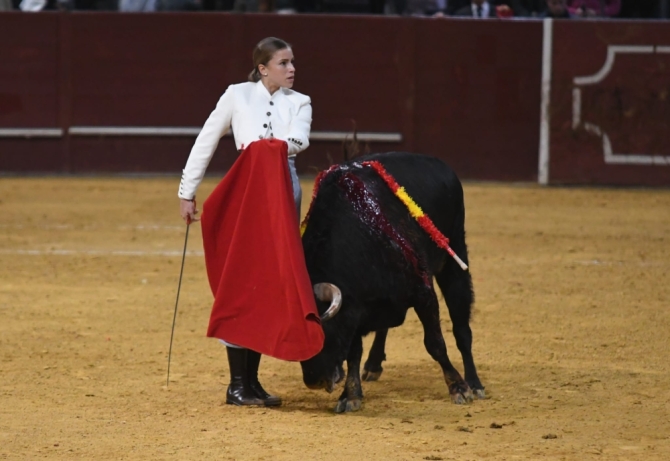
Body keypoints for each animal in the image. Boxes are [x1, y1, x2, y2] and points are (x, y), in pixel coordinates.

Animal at [302, 152, 486, 414]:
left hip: (454, 257)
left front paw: (459, 388)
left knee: (461, 328)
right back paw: (373, 364)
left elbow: (435, 343)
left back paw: (474, 382)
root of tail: (439, 164)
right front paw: (351, 395)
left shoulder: (423, 293)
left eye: (322, 333)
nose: (313, 380)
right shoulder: (356, 308)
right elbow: (353, 352)